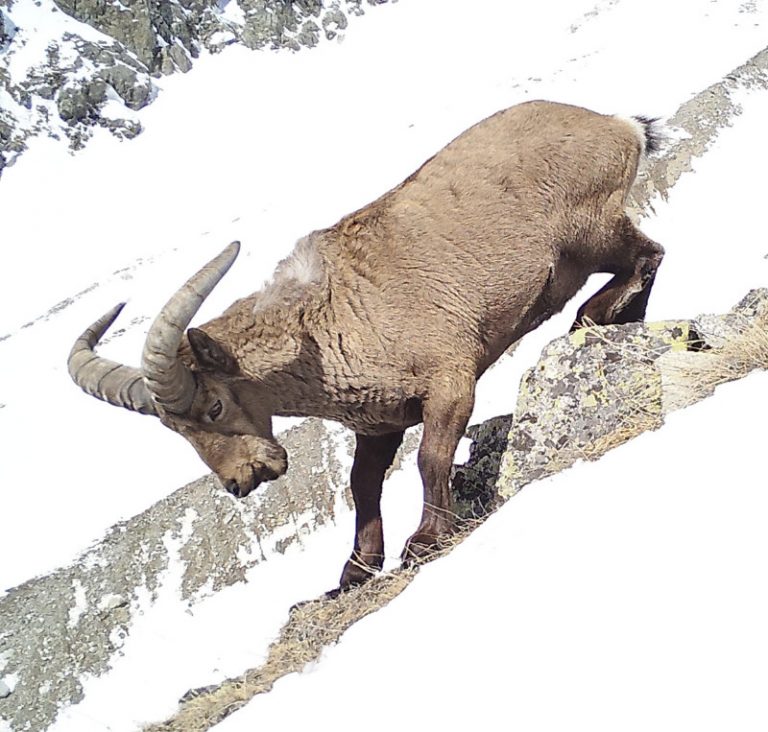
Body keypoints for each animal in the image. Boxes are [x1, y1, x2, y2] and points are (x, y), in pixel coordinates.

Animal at [69, 100, 664, 590]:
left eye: (213, 405)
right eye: (177, 431)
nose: (241, 481)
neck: (330, 324)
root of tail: (617, 125)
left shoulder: (449, 380)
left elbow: (429, 456)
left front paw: (423, 540)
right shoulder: (377, 422)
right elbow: (362, 485)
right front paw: (355, 570)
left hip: (590, 231)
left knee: (648, 253)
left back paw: (593, 317)